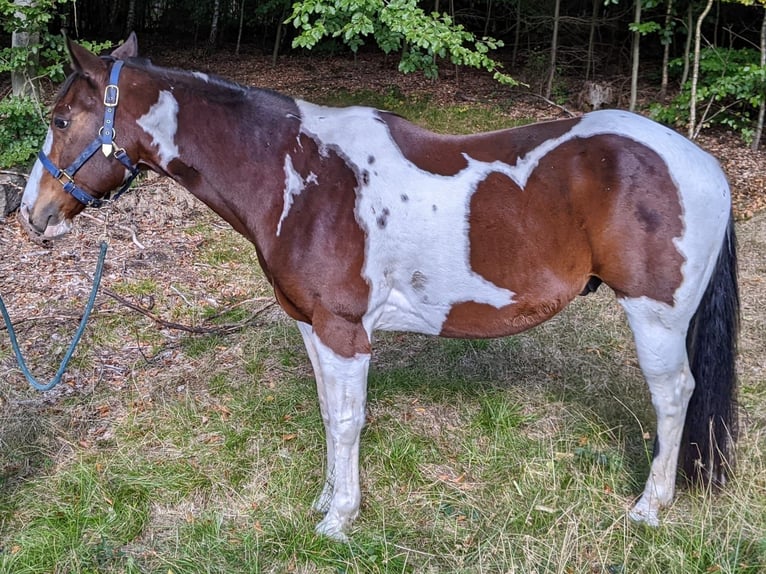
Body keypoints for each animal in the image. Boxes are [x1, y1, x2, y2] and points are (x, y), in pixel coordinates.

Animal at [19, 34, 739, 541]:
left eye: (60, 118)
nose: (30, 212)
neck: (299, 177)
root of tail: (703, 164)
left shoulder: (344, 331)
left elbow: (347, 419)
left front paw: (339, 519)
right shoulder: (313, 325)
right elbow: (329, 415)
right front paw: (326, 500)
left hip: (655, 318)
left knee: (673, 396)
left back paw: (649, 507)